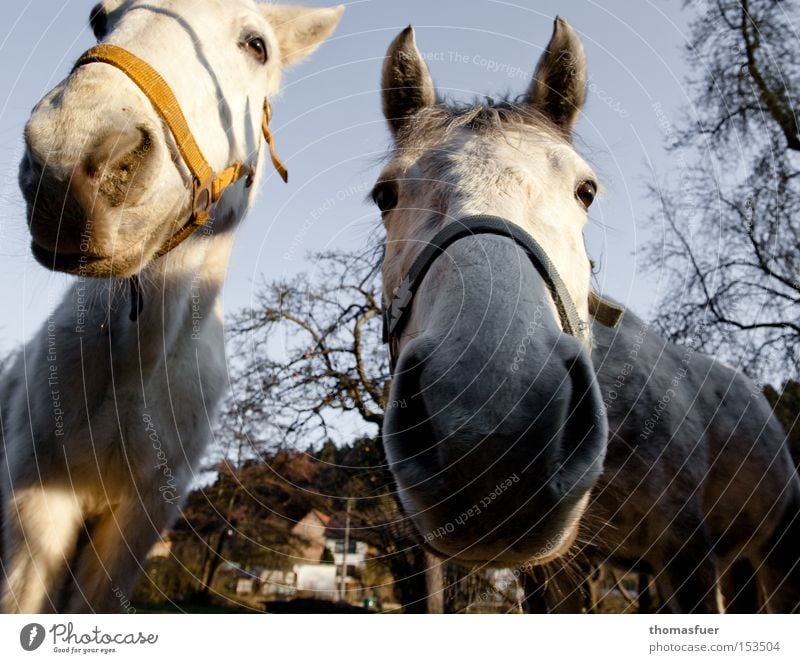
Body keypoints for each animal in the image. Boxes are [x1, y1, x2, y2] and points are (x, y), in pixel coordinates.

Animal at [0, 0, 344, 616]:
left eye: (257, 46)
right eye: (98, 17)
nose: (69, 156)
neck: (138, 363)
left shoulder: (142, 519)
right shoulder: (34, 500)